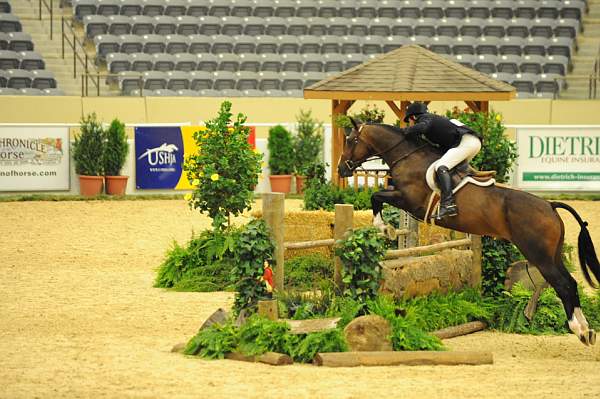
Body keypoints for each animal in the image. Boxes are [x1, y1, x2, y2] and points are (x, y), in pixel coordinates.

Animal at [338, 120, 600, 346]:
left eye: (350, 140)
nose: (341, 169)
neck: (408, 157)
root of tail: (550, 205)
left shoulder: (410, 201)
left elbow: (376, 196)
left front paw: (385, 228)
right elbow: (378, 197)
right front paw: (386, 228)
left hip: (539, 254)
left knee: (563, 284)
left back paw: (579, 329)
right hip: (551, 255)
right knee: (570, 283)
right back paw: (586, 330)